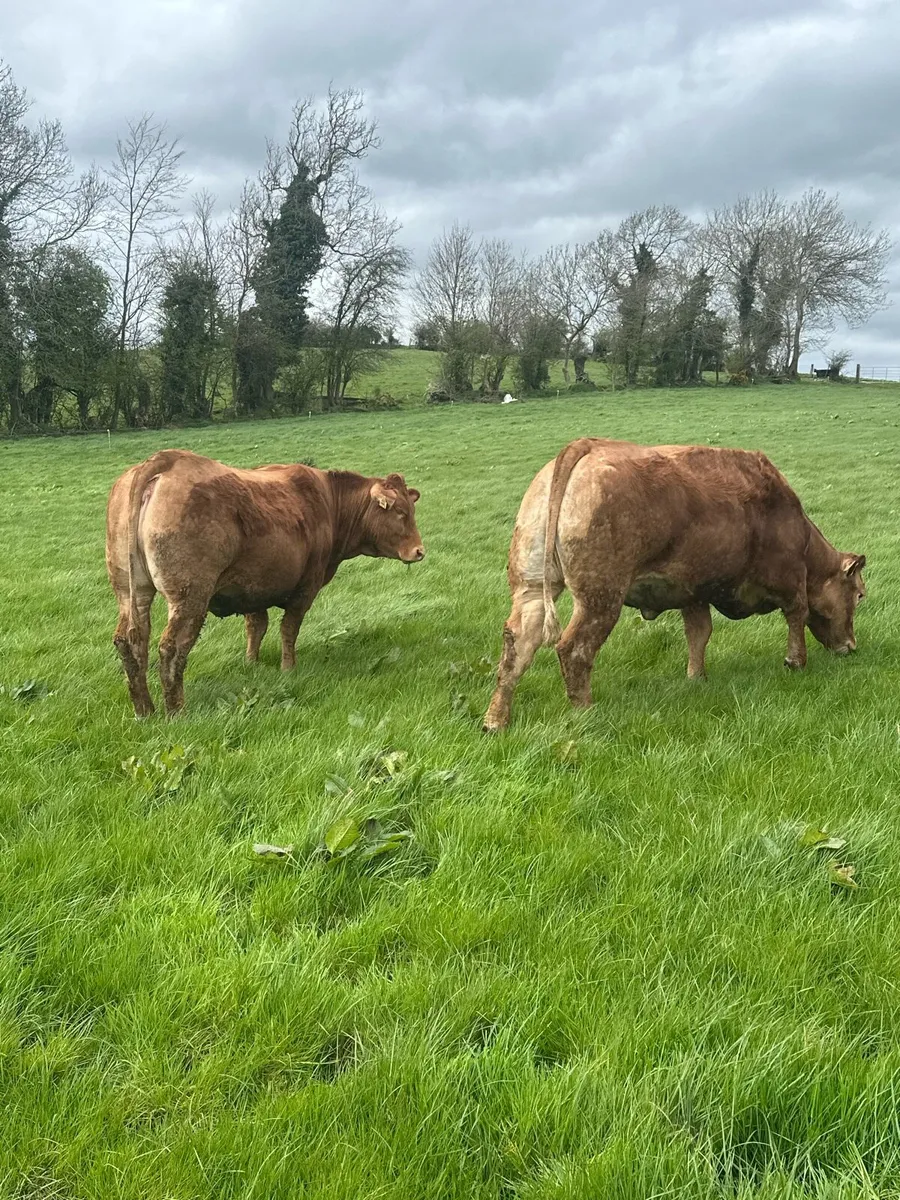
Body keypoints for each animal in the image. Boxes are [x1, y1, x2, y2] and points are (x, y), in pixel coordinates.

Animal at [106, 449, 425, 717]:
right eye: (400, 513)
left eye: (411, 510)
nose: (419, 551)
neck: (328, 503)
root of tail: (166, 459)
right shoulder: (305, 588)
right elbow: (288, 629)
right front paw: (288, 668)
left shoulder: (251, 587)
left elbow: (256, 627)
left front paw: (251, 663)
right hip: (190, 596)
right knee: (171, 647)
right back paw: (176, 712)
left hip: (130, 592)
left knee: (131, 641)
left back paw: (145, 710)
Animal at [483, 437, 866, 731]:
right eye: (860, 595)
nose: (851, 646)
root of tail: (587, 445)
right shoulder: (790, 579)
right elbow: (797, 616)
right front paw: (796, 662)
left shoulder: (693, 591)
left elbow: (699, 633)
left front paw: (697, 677)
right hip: (600, 597)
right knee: (574, 649)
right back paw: (585, 714)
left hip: (532, 587)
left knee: (518, 644)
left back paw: (495, 721)